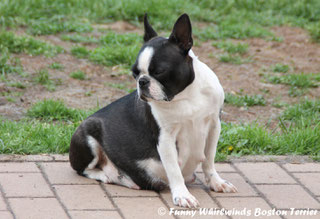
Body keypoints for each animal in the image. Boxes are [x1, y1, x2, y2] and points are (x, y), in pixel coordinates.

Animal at [69, 13, 236, 209]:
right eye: (134, 73)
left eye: (159, 72)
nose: (142, 81)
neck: (186, 95)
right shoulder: (165, 138)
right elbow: (173, 168)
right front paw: (182, 194)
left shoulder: (214, 126)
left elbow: (209, 159)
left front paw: (216, 182)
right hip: (87, 133)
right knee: (83, 169)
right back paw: (109, 175)